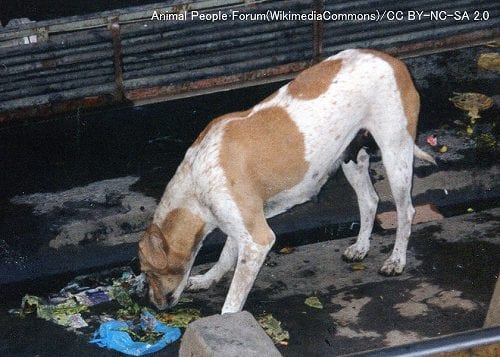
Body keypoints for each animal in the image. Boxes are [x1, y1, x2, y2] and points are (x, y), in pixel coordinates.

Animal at [139, 49, 436, 312]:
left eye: (147, 271)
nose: (152, 305)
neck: (195, 182)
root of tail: (393, 61)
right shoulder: (242, 227)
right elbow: (225, 257)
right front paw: (208, 278)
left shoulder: (257, 240)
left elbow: (231, 303)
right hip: (351, 159)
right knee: (370, 200)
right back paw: (361, 247)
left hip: (396, 156)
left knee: (406, 211)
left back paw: (396, 260)